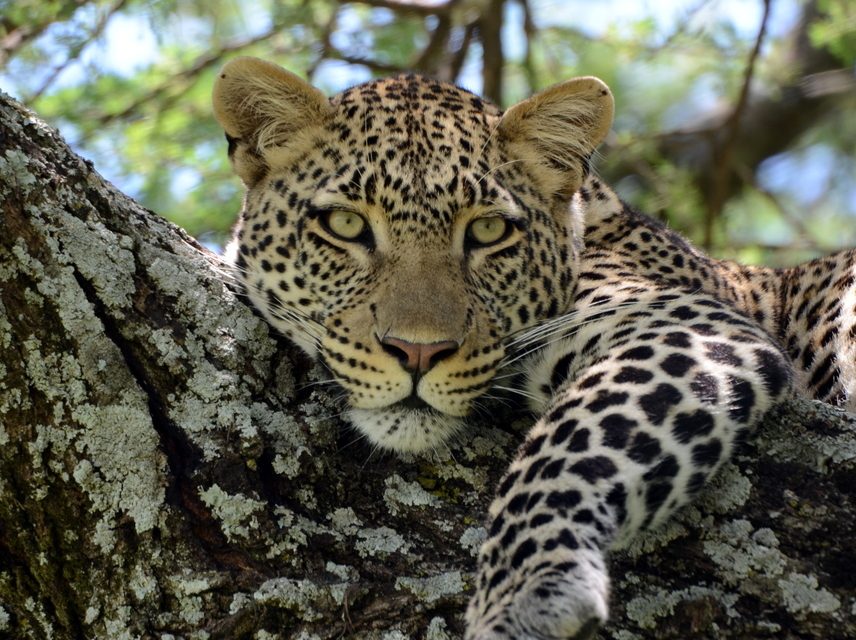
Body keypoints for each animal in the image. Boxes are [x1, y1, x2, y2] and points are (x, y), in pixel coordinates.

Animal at [212, 56, 856, 639]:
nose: (417, 353)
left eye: (488, 231)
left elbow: (568, 446)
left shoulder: (687, 323)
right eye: (345, 225)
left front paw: (527, 595)